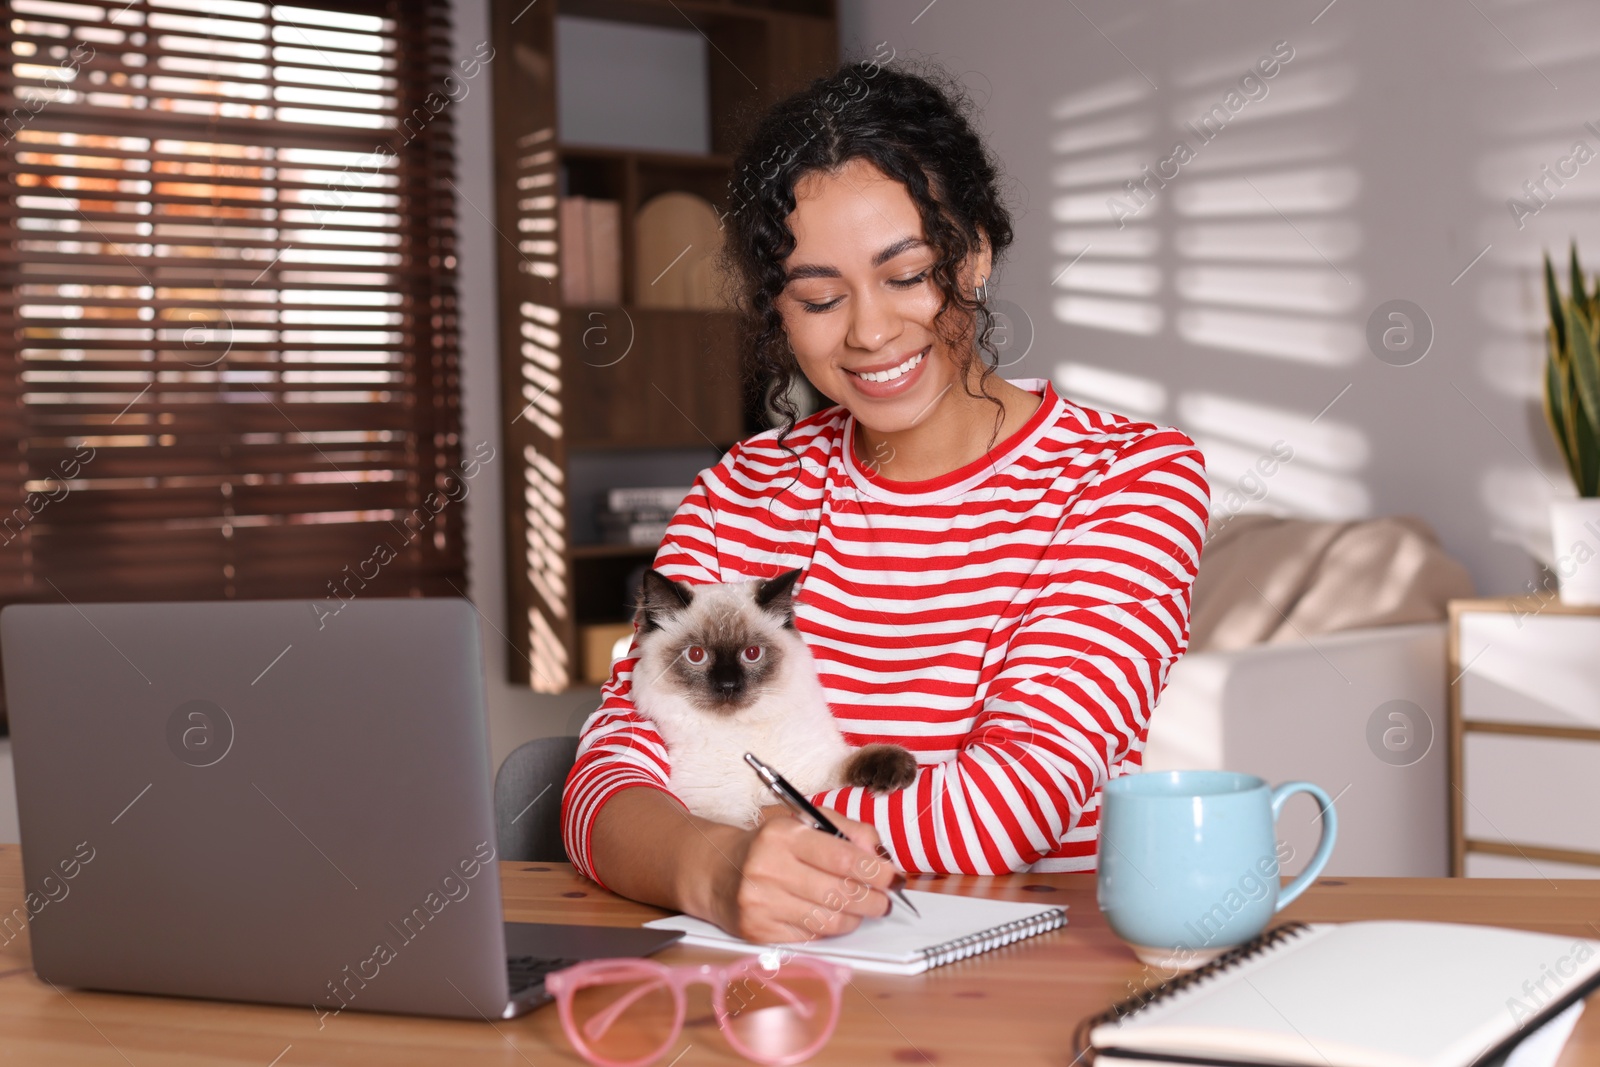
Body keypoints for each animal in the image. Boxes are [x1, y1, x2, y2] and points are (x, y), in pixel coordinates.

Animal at [630, 566, 921, 825]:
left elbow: (847, 765)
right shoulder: (716, 809)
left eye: (752, 653)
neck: (741, 730)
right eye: (696, 655)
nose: (728, 685)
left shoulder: (809, 777)